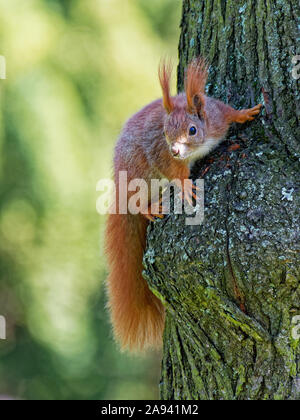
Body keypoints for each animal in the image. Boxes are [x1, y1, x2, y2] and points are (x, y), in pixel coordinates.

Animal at [105, 56, 262, 352]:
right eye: (165, 132)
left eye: (192, 129)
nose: (176, 150)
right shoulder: (163, 156)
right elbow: (176, 173)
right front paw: (186, 186)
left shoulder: (216, 116)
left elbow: (229, 113)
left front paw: (246, 113)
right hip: (138, 179)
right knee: (135, 202)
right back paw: (148, 208)